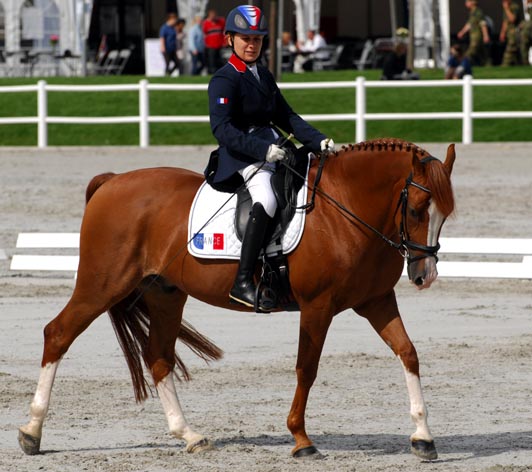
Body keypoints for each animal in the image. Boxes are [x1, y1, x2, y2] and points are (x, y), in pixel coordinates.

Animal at [18, 137, 456, 460]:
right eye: (418, 209)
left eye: (446, 213)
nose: (425, 275)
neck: (345, 210)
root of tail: (111, 181)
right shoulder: (317, 306)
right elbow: (306, 369)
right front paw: (301, 440)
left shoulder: (376, 301)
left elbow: (408, 353)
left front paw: (423, 437)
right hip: (102, 284)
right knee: (58, 334)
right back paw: (31, 433)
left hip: (164, 294)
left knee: (158, 358)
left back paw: (189, 435)